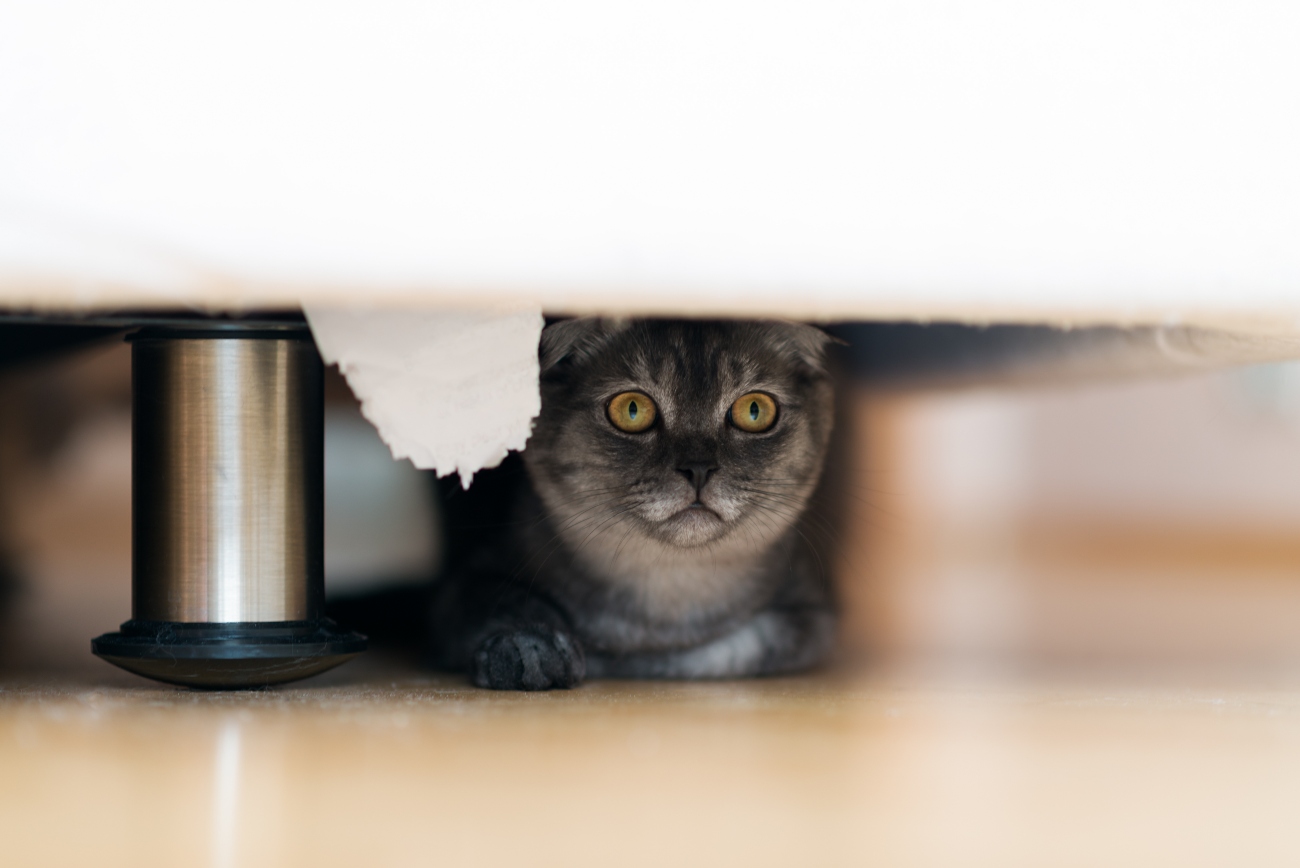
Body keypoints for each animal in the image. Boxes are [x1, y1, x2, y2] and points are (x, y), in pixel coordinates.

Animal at [431, 318, 837, 691]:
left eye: (754, 410)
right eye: (631, 409)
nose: (698, 468)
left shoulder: (809, 615)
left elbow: (748, 644)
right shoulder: (464, 578)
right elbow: (499, 598)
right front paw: (530, 643)